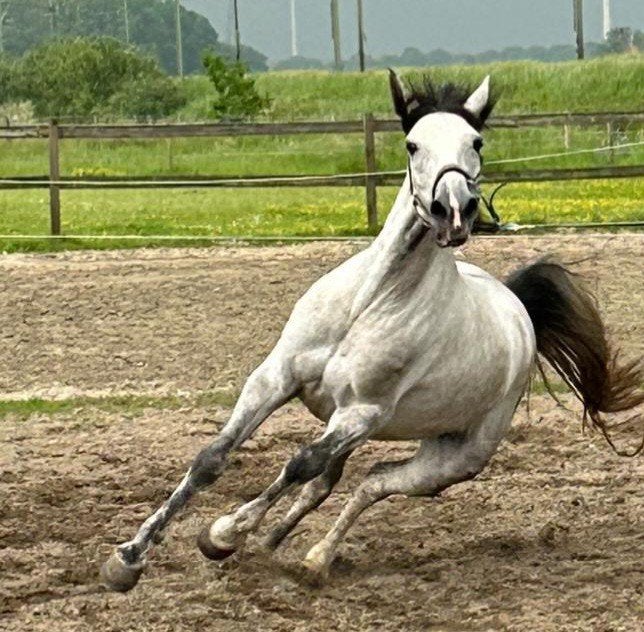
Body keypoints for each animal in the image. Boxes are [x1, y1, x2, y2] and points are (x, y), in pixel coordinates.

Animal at [101, 70, 642, 592]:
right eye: (412, 144)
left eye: (477, 141)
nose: (455, 210)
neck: (370, 302)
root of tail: (517, 309)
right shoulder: (274, 378)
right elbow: (212, 458)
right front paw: (127, 560)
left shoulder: (363, 411)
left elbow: (298, 464)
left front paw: (223, 534)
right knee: (331, 483)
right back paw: (273, 544)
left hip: (453, 457)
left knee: (370, 484)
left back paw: (313, 561)